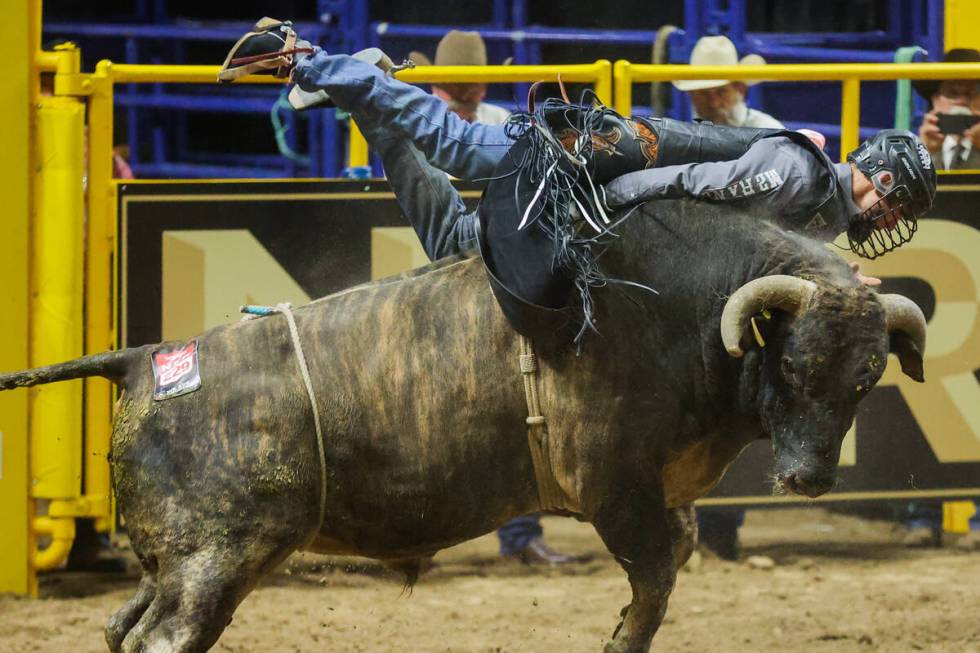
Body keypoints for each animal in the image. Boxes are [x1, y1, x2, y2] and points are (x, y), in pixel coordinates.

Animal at [0, 200, 928, 652]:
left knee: (123, 627)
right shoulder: (614, 488)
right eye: (795, 366)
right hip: (213, 563)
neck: (682, 308)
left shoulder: (666, 498)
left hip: (173, 560)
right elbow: (654, 585)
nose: (807, 478)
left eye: (866, 379)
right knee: (162, 637)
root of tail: (144, 358)